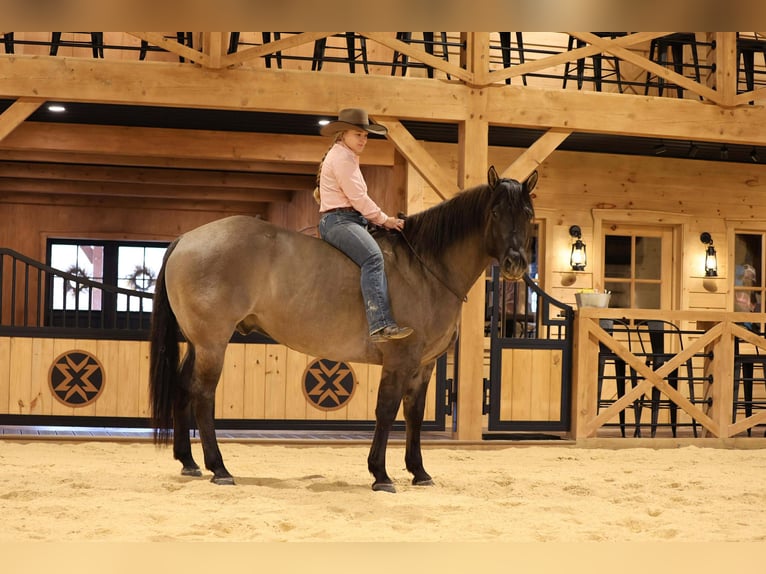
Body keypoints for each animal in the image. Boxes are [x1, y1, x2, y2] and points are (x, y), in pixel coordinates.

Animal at [149, 166, 537, 492]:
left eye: (528, 215)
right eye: (495, 213)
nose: (516, 263)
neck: (425, 267)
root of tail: (187, 238)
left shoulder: (424, 365)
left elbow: (413, 414)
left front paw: (419, 472)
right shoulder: (399, 360)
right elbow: (386, 411)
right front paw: (381, 474)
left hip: (198, 343)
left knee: (183, 388)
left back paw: (189, 462)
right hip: (213, 343)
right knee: (203, 395)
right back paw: (219, 469)